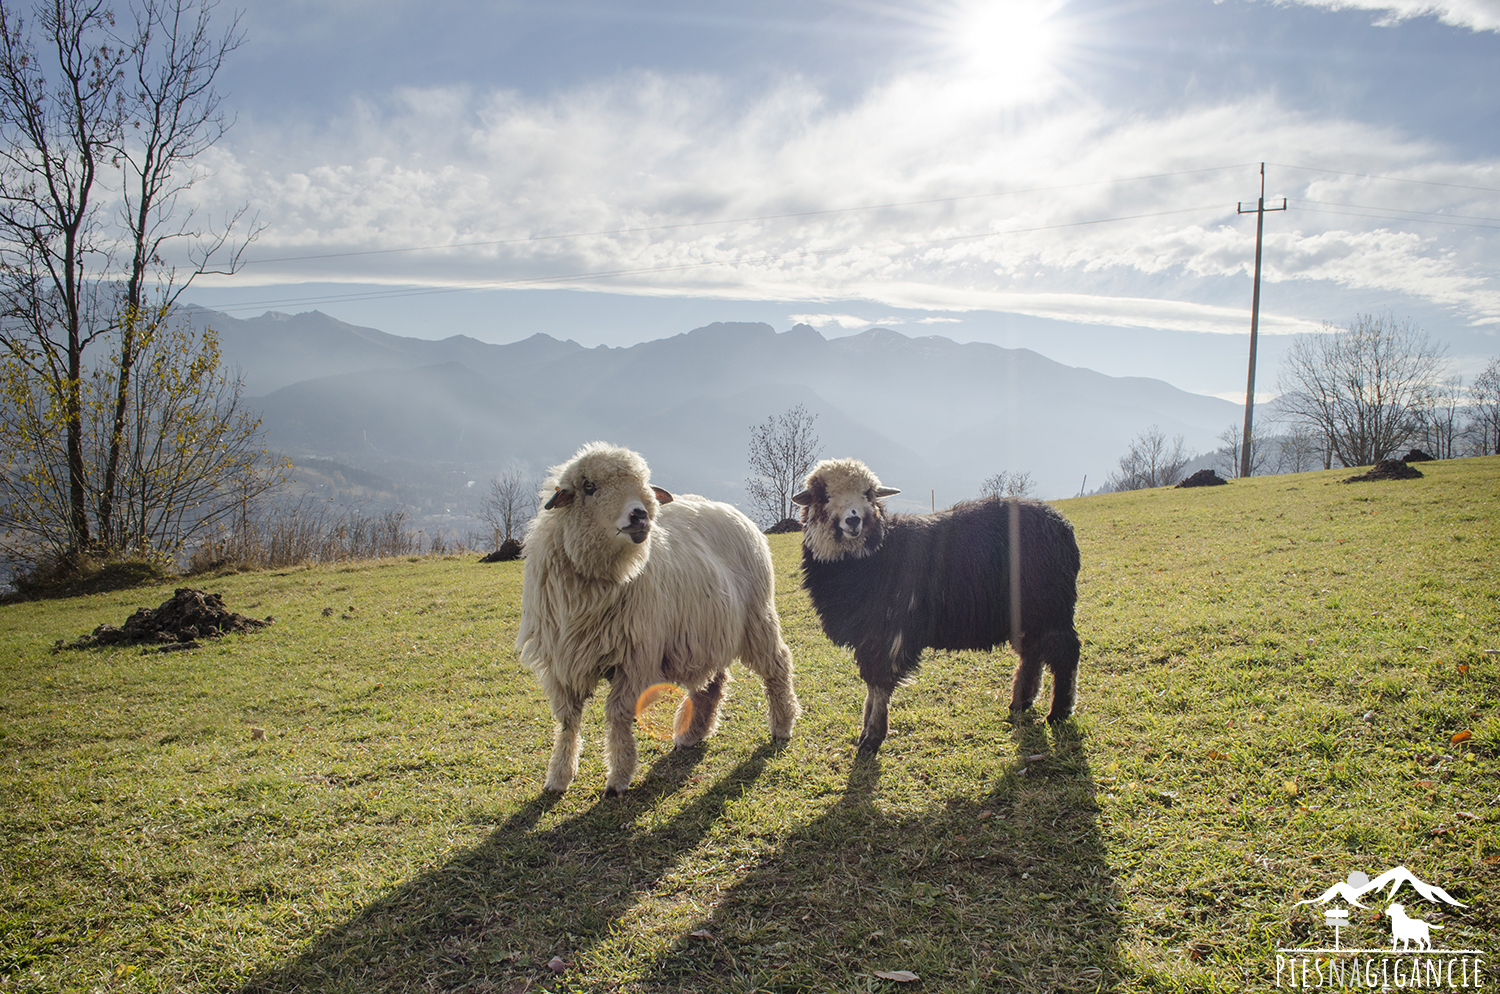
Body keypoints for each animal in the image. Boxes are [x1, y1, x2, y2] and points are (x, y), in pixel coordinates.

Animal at [516, 440, 804, 797]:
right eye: (589, 486)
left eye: (642, 483)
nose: (639, 514)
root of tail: (731, 509)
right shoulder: (561, 662)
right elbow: (568, 720)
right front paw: (558, 776)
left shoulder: (635, 656)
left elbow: (619, 714)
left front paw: (619, 776)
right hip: (708, 628)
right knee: (713, 683)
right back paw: (693, 733)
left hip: (756, 616)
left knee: (777, 664)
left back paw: (782, 725)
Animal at [798, 458, 1080, 755]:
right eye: (824, 495)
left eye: (869, 494)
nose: (853, 520)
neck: (875, 552)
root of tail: (1063, 526)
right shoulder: (868, 637)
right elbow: (871, 686)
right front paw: (865, 730)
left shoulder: (889, 633)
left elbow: (880, 683)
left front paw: (873, 736)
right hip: (1031, 613)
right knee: (1033, 654)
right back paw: (1020, 703)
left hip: (1052, 607)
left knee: (1065, 653)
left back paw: (1059, 711)